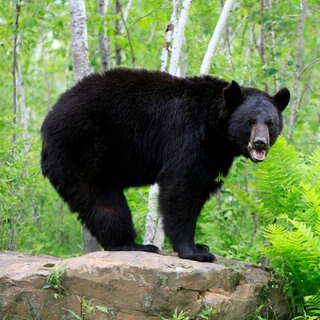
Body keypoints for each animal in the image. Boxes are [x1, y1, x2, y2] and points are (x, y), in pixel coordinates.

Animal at [40, 69, 290, 262]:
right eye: (249, 122)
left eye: (270, 123)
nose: (260, 143)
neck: (217, 130)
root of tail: (47, 123)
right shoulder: (188, 137)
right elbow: (180, 188)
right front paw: (194, 252)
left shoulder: (214, 155)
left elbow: (201, 188)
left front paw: (200, 245)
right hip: (85, 149)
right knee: (102, 199)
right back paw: (132, 244)